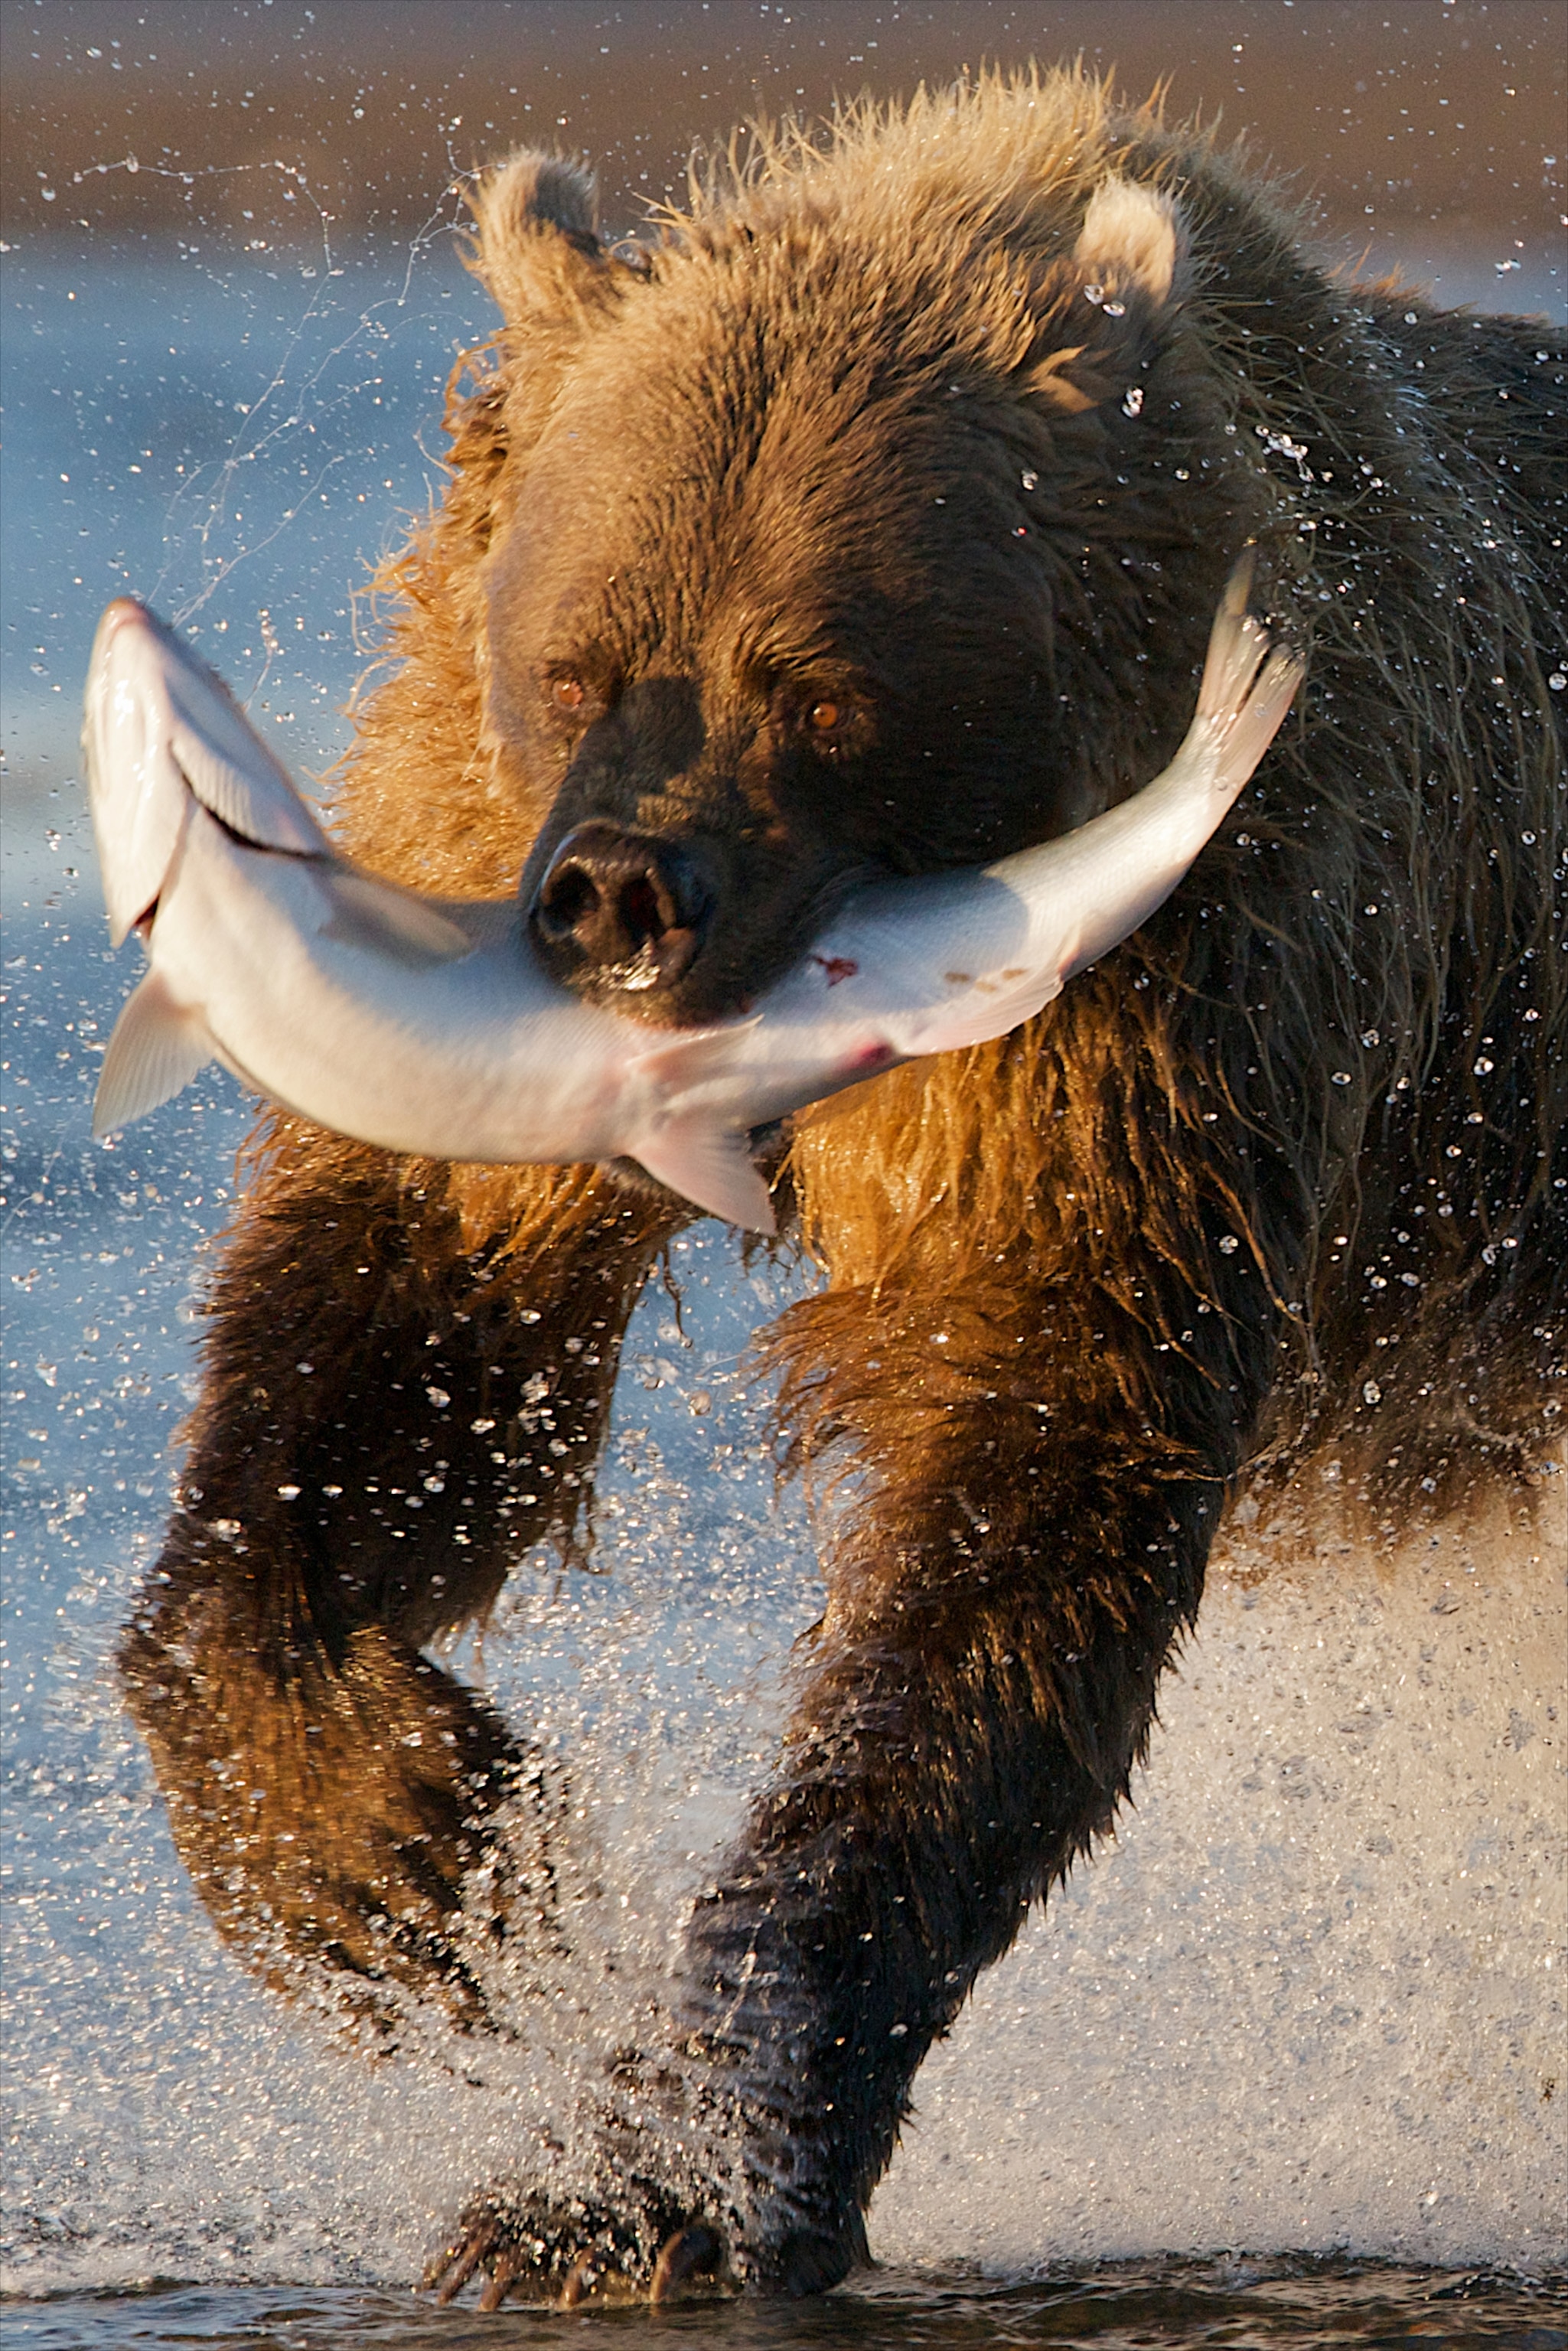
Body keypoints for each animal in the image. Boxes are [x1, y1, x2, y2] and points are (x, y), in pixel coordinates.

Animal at [118, 69, 1565, 2304]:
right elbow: (400, 1340)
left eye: (818, 680)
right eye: (578, 656)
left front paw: (642, 2182)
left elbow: (1013, 1499)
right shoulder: (467, 877)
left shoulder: (1159, 1021)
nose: (621, 896)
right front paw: (415, 1864)